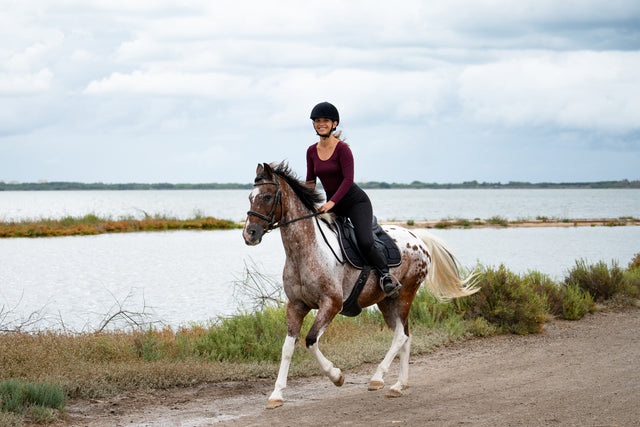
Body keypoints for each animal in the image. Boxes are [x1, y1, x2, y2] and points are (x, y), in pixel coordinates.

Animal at [242, 162, 478, 410]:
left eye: (267, 196)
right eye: (250, 197)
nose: (249, 234)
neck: (304, 251)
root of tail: (418, 238)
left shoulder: (331, 304)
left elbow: (311, 341)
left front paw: (336, 376)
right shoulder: (296, 305)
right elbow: (287, 348)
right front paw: (276, 394)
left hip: (406, 293)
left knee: (401, 336)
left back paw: (379, 378)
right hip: (387, 301)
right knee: (405, 335)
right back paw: (399, 385)